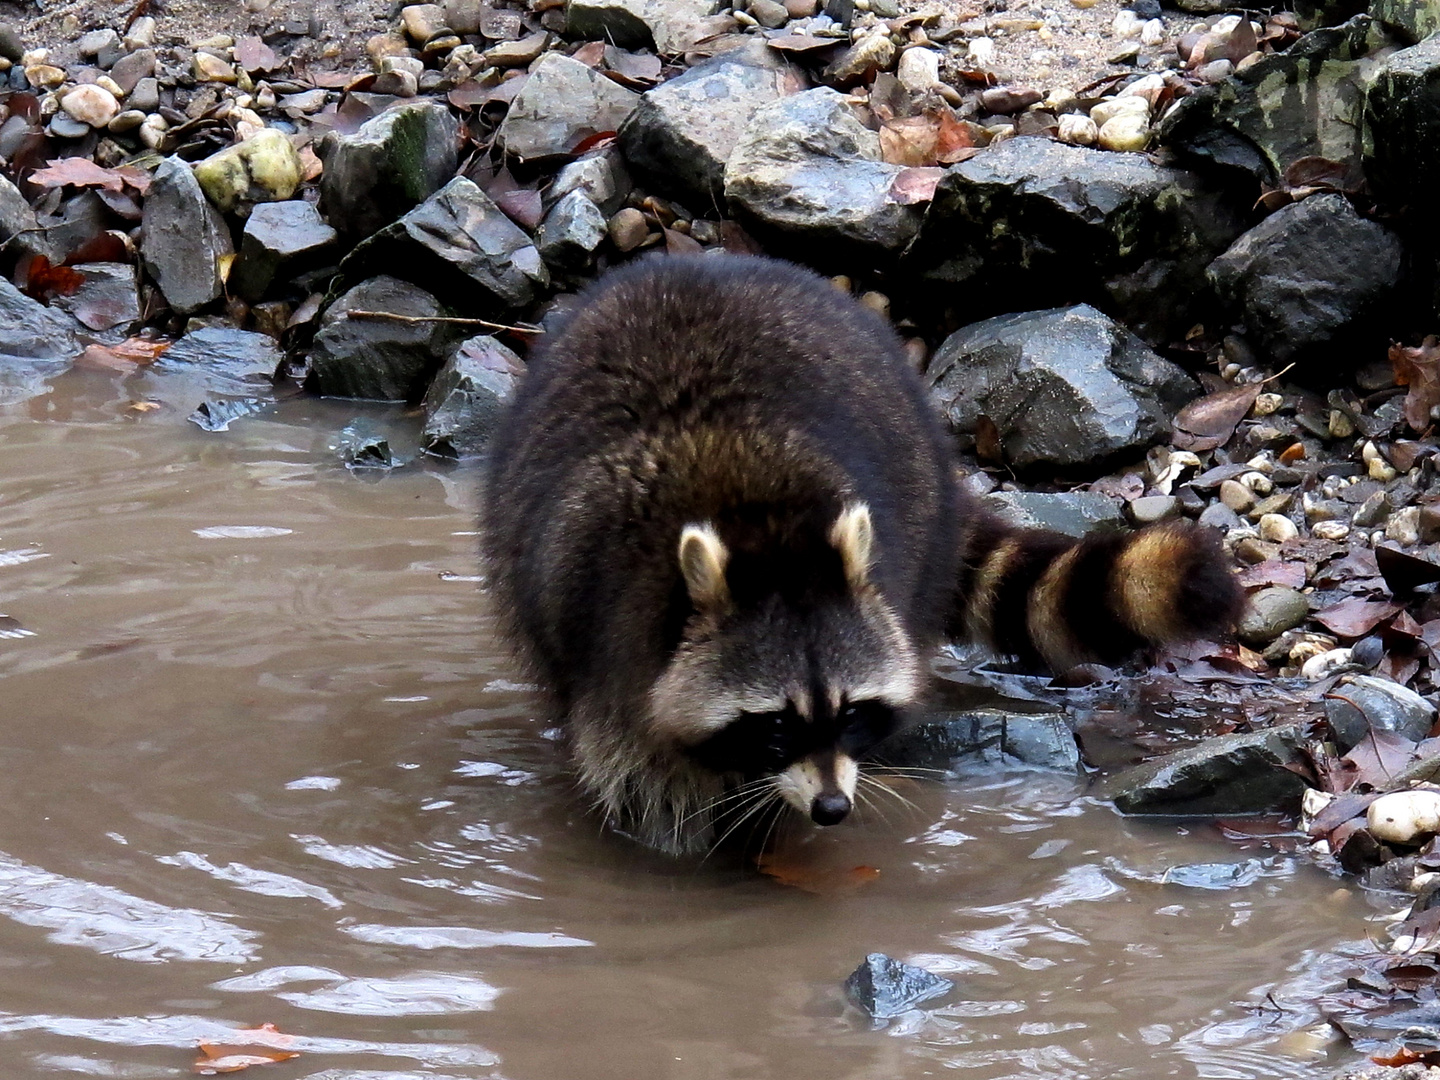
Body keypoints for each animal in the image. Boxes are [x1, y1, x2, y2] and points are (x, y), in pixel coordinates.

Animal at [478, 253, 1244, 852]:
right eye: (774, 725)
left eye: (850, 714)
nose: (831, 809)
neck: (763, 529)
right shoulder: (606, 624)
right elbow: (641, 775)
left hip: (915, 502)